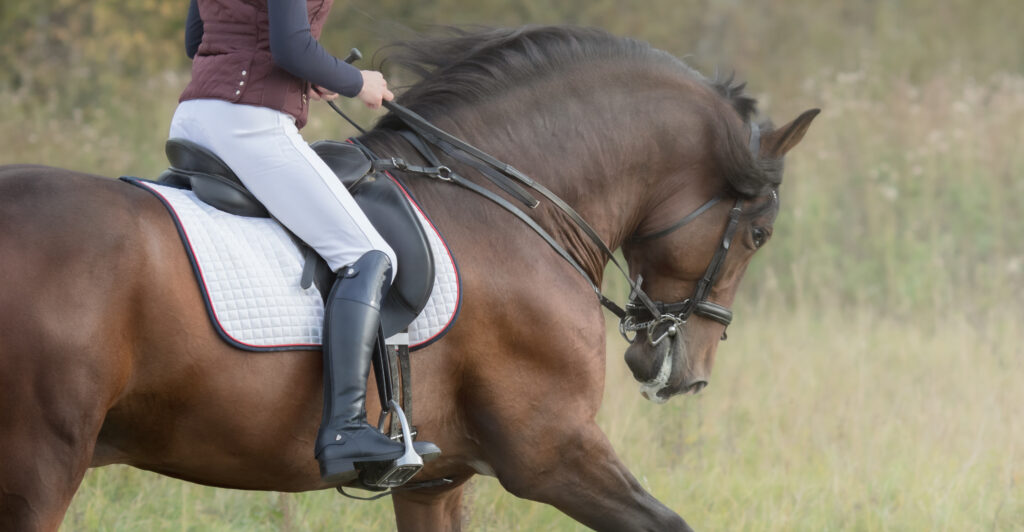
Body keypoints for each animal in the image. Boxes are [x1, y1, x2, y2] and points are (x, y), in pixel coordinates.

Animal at [0, 25, 815, 532]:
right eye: (758, 235)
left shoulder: (435, 482)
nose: (681, 372)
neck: (506, 199)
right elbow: (666, 521)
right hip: (41, 465)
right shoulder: (551, 450)